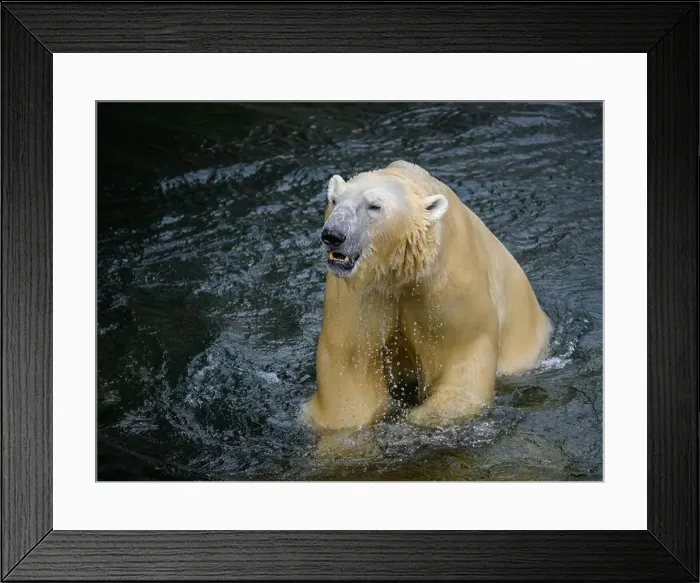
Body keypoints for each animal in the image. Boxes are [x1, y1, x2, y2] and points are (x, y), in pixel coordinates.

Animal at [303, 160, 551, 434]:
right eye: (334, 200)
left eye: (374, 206)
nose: (333, 235)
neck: (401, 272)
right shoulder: (361, 291)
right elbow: (349, 364)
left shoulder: (449, 282)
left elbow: (463, 355)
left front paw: (416, 420)